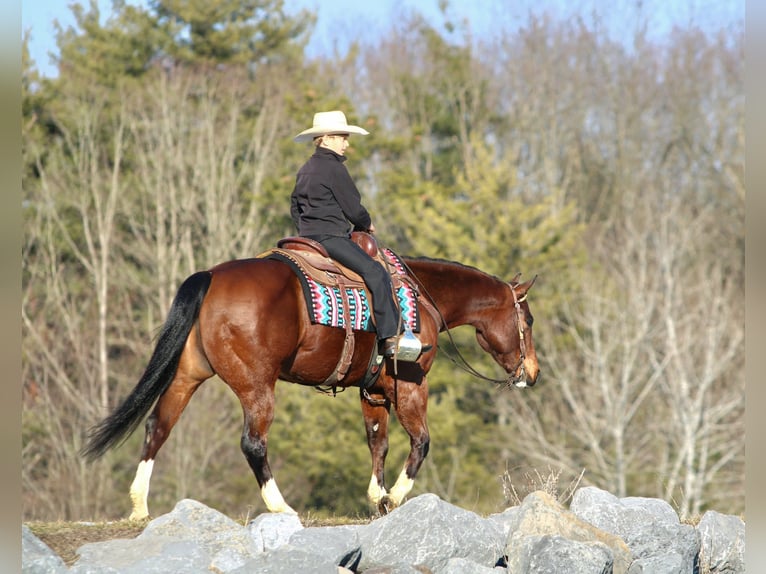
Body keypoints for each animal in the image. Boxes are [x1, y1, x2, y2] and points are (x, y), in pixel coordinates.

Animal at [81, 240, 539, 519]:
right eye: (529, 320)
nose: (532, 373)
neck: (422, 298)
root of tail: (211, 276)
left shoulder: (372, 391)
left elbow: (378, 442)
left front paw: (376, 497)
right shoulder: (409, 386)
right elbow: (421, 441)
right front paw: (392, 496)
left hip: (188, 374)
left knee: (158, 426)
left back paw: (139, 505)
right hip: (257, 386)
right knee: (253, 443)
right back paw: (280, 506)